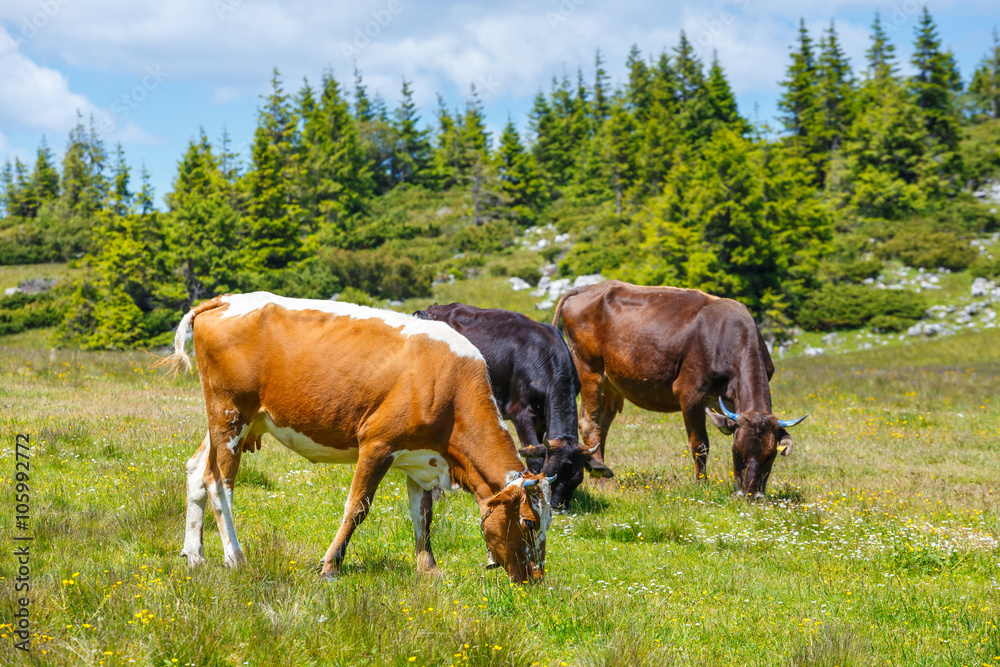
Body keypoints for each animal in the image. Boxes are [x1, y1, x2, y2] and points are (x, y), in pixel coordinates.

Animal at [154, 290, 556, 580]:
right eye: (529, 521)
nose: (536, 579)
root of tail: (224, 300)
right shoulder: (378, 445)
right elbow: (357, 507)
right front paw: (331, 565)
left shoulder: (422, 458)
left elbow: (423, 516)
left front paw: (429, 570)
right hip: (231, 413)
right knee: (219, 481)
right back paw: (235, 557)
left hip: (234, 420)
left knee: (195, 470)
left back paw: (194, 555)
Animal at [552, 280, 808, 496]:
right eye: (736, 452)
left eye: (770, 456)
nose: (749, 495)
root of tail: (587, 288)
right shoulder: (690, 392)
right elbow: (700, 444)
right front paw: (701, 484)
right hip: (589, 369)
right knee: (590, 423)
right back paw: (601, 480)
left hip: (611, 383)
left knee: (602, 426)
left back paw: (600, 470)